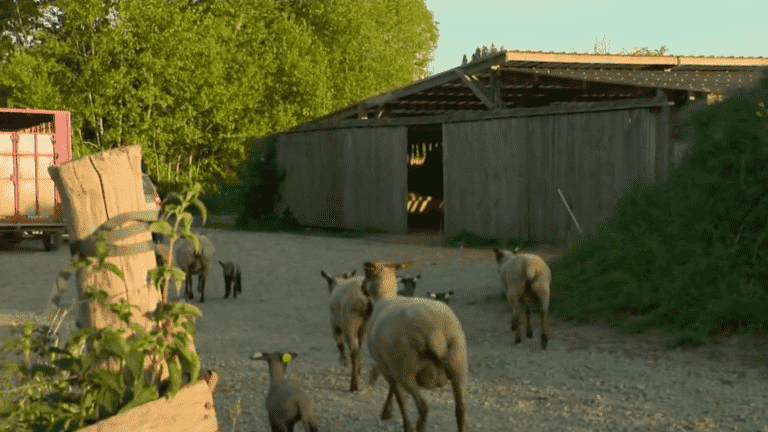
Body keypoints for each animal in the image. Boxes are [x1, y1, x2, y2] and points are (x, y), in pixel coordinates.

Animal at [364, 260, 468, 432]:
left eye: (367, 275)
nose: (361, 287)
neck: (384, 297)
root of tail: (435, 329)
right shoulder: (390, 367)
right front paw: (387, 412)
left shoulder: (388, 369)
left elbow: (399, 398)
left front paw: (389, 413)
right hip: (457, 366)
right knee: (460, 410)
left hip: (406, 372)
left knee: (423, 408)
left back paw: (416, 426)